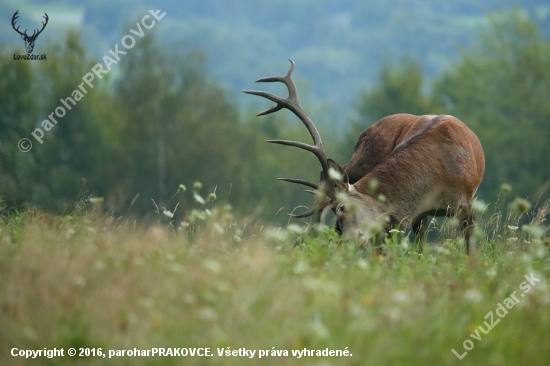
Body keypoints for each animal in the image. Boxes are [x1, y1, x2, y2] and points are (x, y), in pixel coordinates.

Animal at [244, 60, 486, 254]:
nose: (346, 241)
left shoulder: (466, 204)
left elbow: (469, 251)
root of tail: (367, 129)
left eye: (341, 208)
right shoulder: (414, 214)